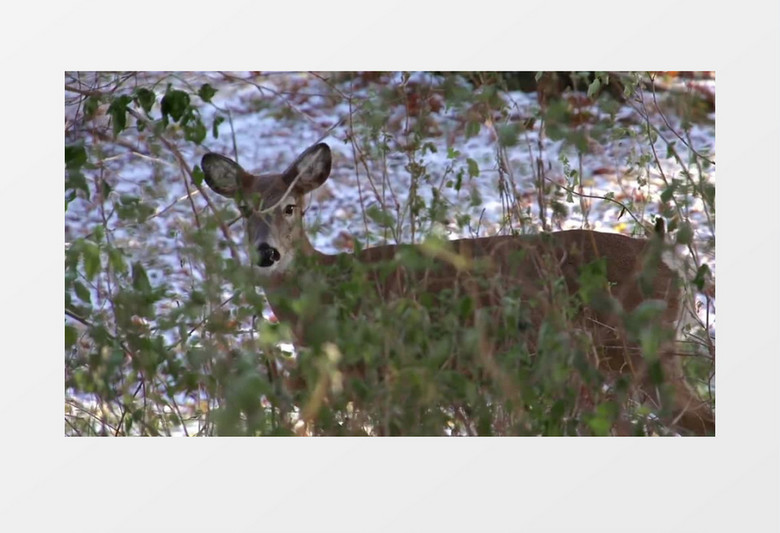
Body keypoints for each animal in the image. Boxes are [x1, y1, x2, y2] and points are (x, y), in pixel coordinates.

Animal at [200, 142, 712, 436]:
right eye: (244, 210)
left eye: (290, 207)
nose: (267, 253)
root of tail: (670, 257)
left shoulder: (385, 374)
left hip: (627, 350)